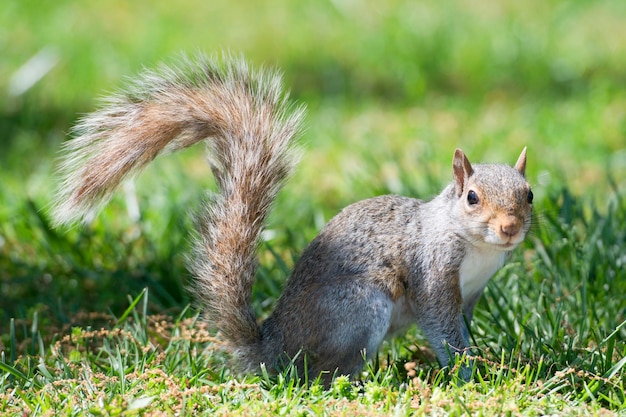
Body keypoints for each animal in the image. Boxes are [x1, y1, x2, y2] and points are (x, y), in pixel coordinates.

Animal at [51, 53, 532, 382]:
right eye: (471, 197)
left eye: (528, 194)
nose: (510, 228)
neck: (477, 247)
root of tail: (273, 350)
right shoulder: (433, 272)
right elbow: (442, 327)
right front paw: (471, 376)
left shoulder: (471, 293)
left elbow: (462, 325)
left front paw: (488, 360)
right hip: (359, 309)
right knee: (324, 375)